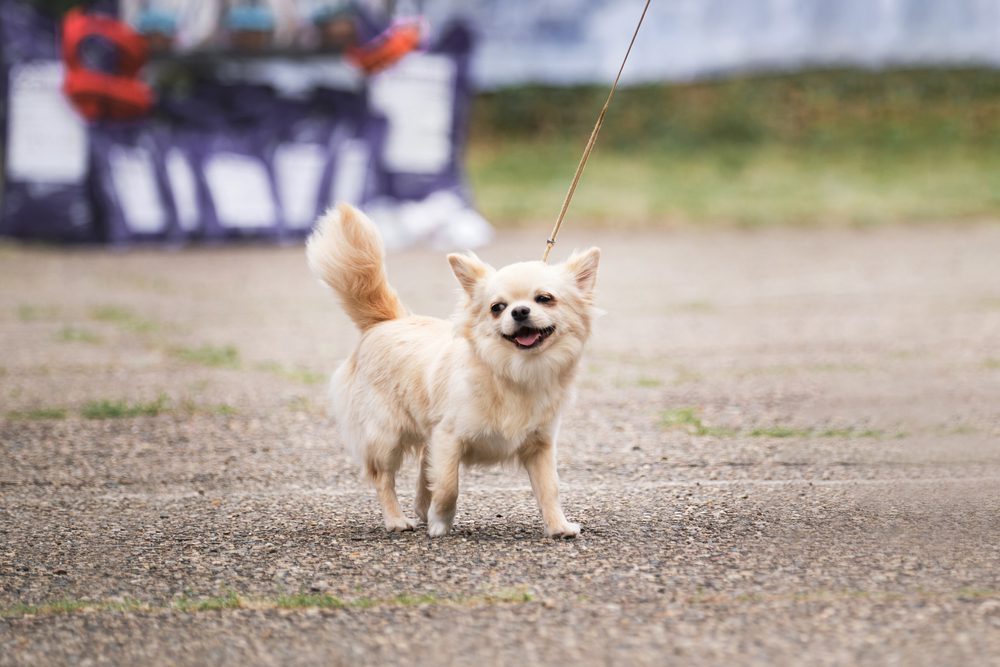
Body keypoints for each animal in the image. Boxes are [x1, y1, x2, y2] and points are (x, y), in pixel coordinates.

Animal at [308, 204, 596, 536]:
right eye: (497, 307)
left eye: (545, 299)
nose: (519, 311)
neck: (515, 371)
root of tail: (387, 321)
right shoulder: (449, 437)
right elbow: (448, 485)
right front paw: (439, 522)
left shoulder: (540, 445)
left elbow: (550, 488)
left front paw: (559, 526)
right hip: (385, 437)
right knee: (384, 478)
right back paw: (397, 520)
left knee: (423, 465)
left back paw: (421, 508)